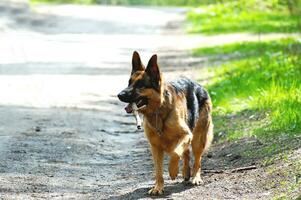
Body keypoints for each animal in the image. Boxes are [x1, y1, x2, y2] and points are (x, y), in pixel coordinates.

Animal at [116, 51, 212, 195]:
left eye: (140, 85)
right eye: (129, 83)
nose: (119, 95)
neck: (158, 110)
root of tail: (198, 85)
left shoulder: (185, 135)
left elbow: (175, 152)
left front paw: (172, 171)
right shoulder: (155, 147)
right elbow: (158, 170)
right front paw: (158, 187)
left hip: (198, 139)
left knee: (197, 160)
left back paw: (196, 177)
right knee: (186, 153)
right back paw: (186, 172)